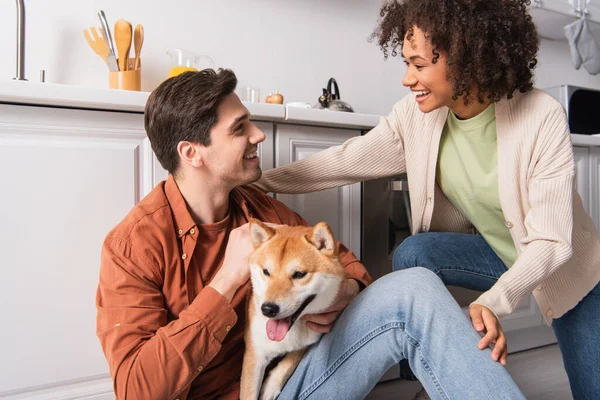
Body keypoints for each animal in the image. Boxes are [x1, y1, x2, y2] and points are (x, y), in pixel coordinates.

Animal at [240, 219, 346, 400]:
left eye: (299, 274)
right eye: (266, 272)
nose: (267, 309)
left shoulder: (312, 336)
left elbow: (292, 358)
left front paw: (271, 386)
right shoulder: (254, 355)